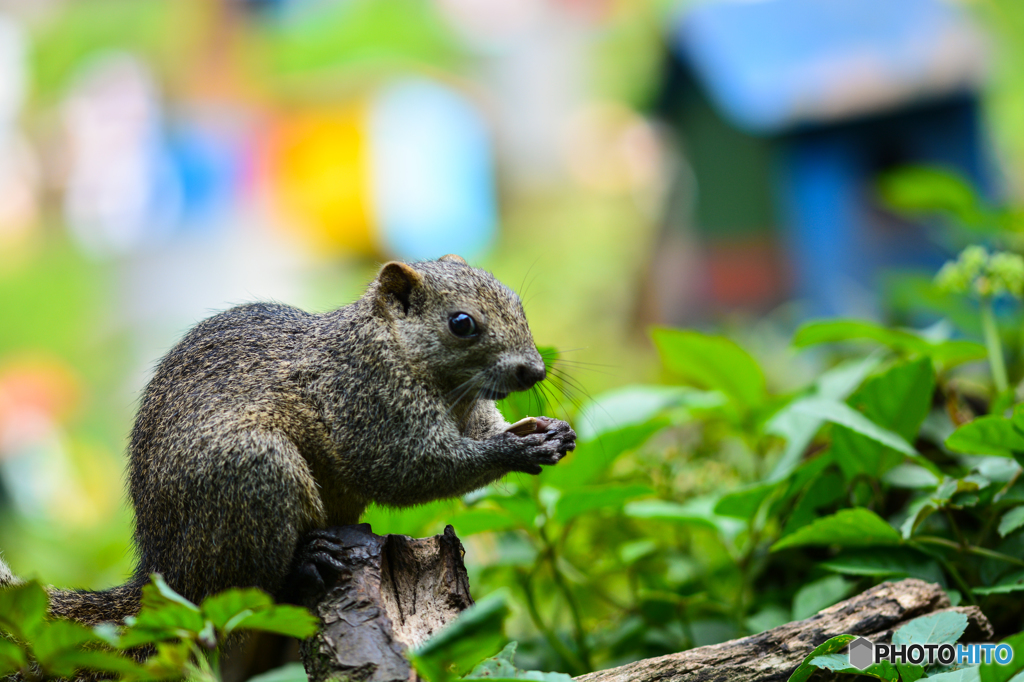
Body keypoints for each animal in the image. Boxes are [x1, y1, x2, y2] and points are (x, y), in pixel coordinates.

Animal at [0, 253, 577, 622]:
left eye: (517, 302)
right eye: (462, 323)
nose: (534, 370)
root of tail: (161, 574)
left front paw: (546, 432)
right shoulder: (366, 399)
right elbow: (408, 467)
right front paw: (516, 448)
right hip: (254, 472)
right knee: (240, 588)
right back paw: (306, 562)